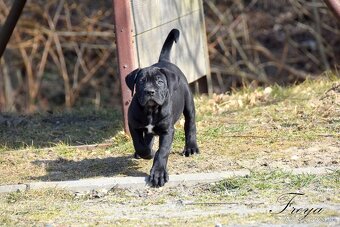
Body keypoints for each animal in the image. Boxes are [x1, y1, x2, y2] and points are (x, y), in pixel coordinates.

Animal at [126, 29, 198, 187]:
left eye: (159, 82)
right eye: (141, 81)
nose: (150, 91)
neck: (151, 110)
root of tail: (164, 61)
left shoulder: (167, 130)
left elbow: (162, 151)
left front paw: (158, 174)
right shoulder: (133, 126)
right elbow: (139, 145)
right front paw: (147, 153)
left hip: (189, 104)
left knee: (190, 124)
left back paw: (191, 148)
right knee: (148, 137)